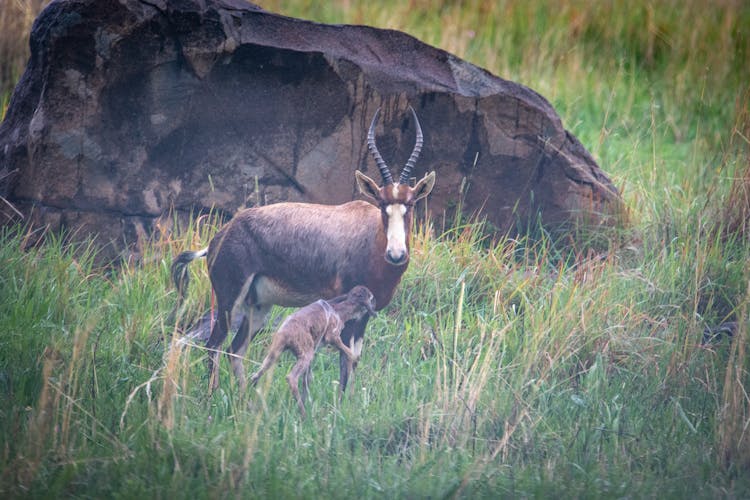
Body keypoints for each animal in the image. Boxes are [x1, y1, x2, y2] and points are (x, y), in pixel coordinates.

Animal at [173, 106, 438, 394]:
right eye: (381, 204)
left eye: (409, 205)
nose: (396, 255)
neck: (370, 235)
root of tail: (217, 239)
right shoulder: (345, 311)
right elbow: (346, 358)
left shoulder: (364, 316)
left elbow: (355, 357)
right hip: (229, 301)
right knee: (214, 346)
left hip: (258, 307)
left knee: (235, 349)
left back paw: (241, 397)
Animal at [251, 286, 376, 418]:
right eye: (370, 297)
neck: (340, 312)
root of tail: (285, 333)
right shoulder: (332, 337)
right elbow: (351, 354)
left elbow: (308, 380)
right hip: (306, 354)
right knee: (291, 377)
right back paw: (303, 415)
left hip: (275, 353)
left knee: (255, 375)